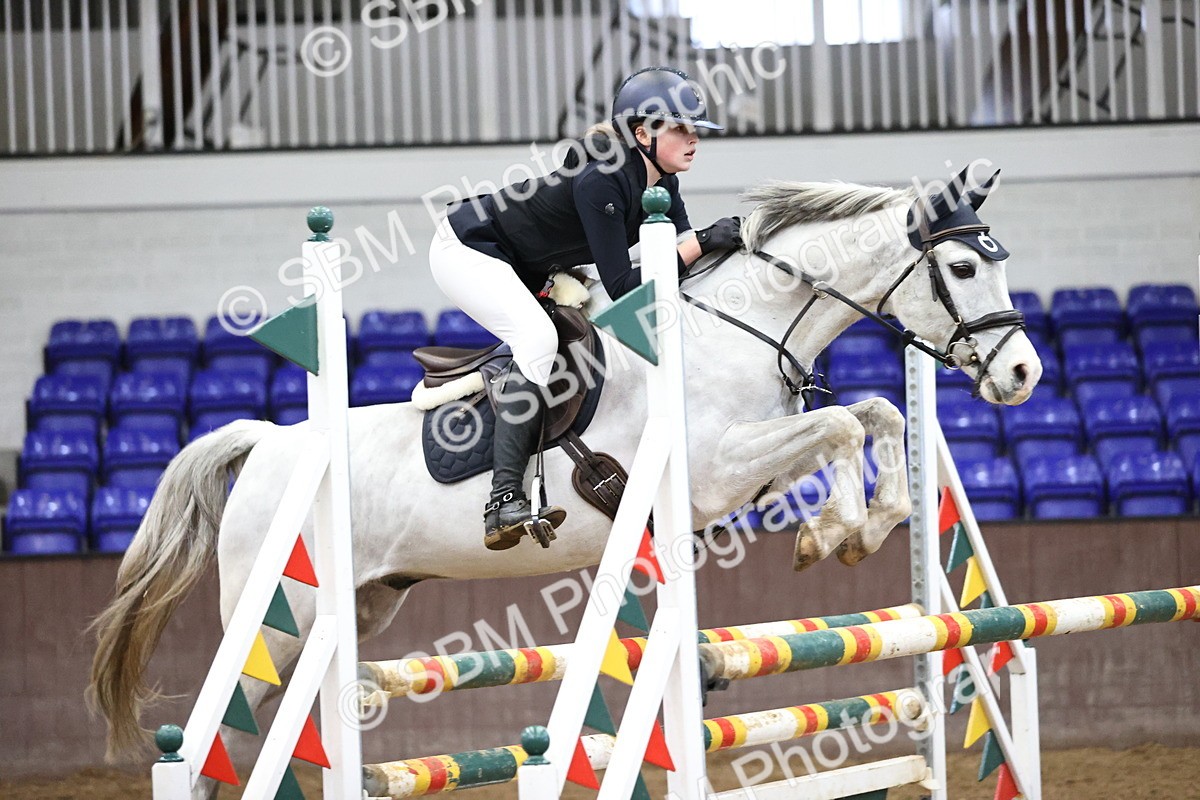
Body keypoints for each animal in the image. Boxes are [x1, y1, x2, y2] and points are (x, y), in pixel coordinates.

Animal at [88, 171, 1041, 775]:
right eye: (963, 267)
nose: (1025, 374)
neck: (737, 329)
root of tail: (272, 442)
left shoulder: (755, 465)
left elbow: (873, 415)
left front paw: (858, 525)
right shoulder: (714, 472)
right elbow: (843, 423)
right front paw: (837, 530)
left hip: (360, 604)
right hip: (280, 623)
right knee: (225, 737)